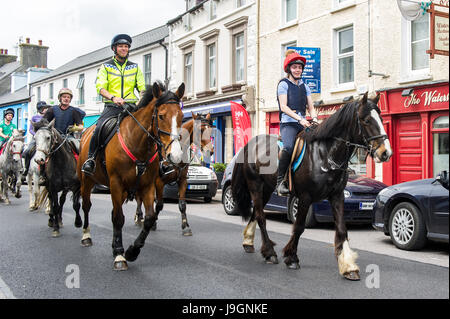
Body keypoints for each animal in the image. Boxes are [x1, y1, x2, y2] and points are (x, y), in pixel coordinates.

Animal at [77, 81, 185, 272]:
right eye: (161, 116)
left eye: (181, 116)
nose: (176, 156)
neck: (137, 143)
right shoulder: (116, 183)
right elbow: (119, 218)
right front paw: (120, 256)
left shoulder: (147, 186)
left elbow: (148, 219)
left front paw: (132, 251)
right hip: (87, 180)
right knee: (87, 206)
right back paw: (86, 236)